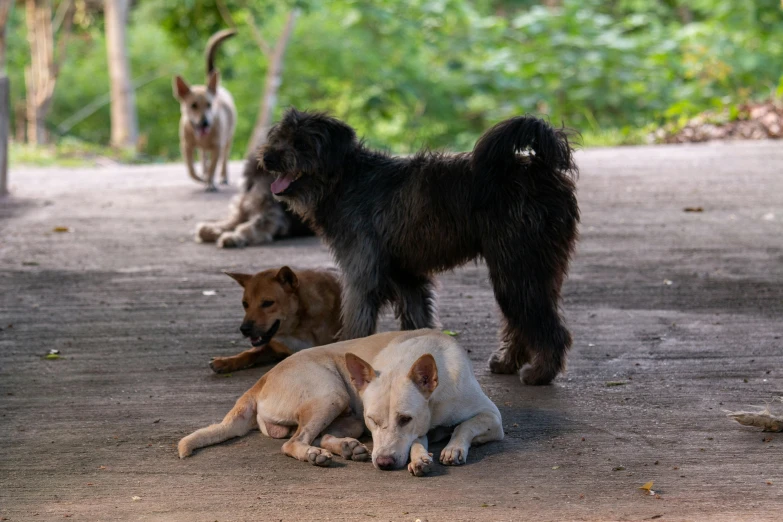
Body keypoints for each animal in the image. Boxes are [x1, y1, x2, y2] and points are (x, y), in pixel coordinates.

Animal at [175, 29, 239, 191]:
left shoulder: (217, 147)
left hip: (228, 139)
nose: (205, 123)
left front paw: (210, 182)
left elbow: (213, 167)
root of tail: (217, 88)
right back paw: (203, 173)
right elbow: (191, 168)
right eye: (193, 105)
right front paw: (199, 177)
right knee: (204, 158)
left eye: (209, 105)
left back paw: (222, 177)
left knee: (223, 160)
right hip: (202, 149)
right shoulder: (186, 146)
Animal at [179, 330, 502, 476]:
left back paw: (346, 447)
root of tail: (262, 380)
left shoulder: (492, 417)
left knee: (322, 435)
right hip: (334, 396)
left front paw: (448, 450)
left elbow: (462, 427)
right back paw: (315, 454)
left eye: (405, 419)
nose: (383, 463)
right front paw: (425, 456)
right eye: (374, 420)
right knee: (295, 442)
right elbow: (422, 440)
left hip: (349, 415)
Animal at [210, 266, 342, 372]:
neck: (296, 329)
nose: (244, 329)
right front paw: (226, 361)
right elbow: (250, 353)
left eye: (267, 303)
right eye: (245, 304)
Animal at [260, 107, 580, 382]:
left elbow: (357, 322)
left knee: (544, 325)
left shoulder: (362, 277)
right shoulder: (406, 278)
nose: (268, 158)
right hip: (530, 268)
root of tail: (540, 168)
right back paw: (507, 362)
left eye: (301, 143)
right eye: (278, 138)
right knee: (523, 321)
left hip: (517, 267)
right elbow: (416, 322)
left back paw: (540, 373)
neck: (345, 180)